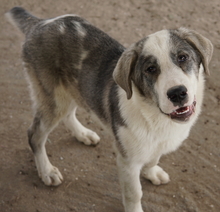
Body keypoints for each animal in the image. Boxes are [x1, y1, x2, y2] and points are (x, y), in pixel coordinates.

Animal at [7, 6, 213, 212]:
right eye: (151, 69)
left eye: (183, 57)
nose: (177, 93)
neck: (154, 115)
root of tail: (40, 23)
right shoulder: (127, 161)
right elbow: (134, 193)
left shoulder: (157, 144)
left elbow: (153, 158)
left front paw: (152, 172)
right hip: (53, 97)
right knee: (34, 135)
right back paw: (47, 171)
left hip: (73, 90)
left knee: (68, 115)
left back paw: (83, 134)